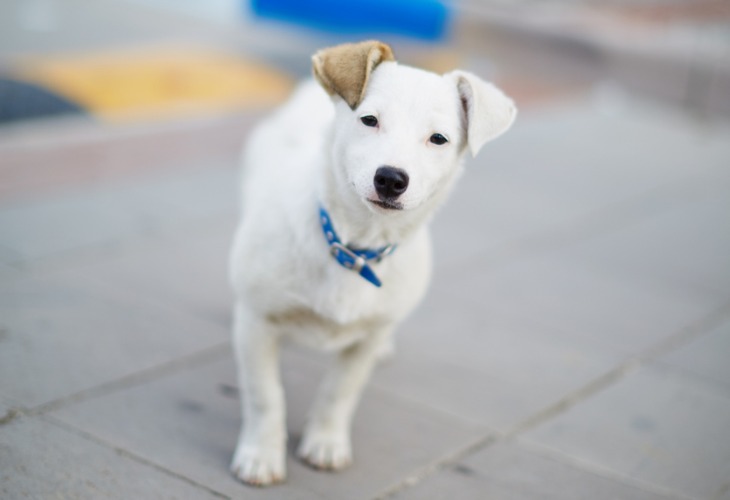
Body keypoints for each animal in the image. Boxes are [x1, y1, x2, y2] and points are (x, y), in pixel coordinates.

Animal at [228, 41, 512, 486]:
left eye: (438, 139)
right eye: (369, 120)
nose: (391, 179)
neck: (355, 247)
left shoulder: (366, 340)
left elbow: (340, 391)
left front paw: (325, 441)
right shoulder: (258, 322)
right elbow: (265, 395)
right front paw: (261, 455)